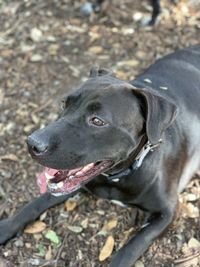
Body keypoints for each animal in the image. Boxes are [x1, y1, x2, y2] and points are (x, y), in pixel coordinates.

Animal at [0, 45, 200, 266]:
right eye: (64, 104)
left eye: (97, 120)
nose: (32, 143)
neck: (116, 178)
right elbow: (34, 204)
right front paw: (5, 227)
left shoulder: (167, 212)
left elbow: (132, 246)